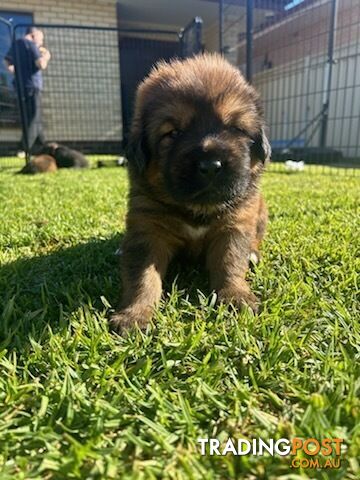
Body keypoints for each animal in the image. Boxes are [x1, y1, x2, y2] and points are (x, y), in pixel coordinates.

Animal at [111, 54, 272, 334]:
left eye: (235, 129)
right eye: (173, 133)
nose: (211, 165)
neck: (198, 209)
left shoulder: (235, 224)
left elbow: (230, 262)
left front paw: (236, 296)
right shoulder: (147, 230)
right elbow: (142, 277)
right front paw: (135, 314)